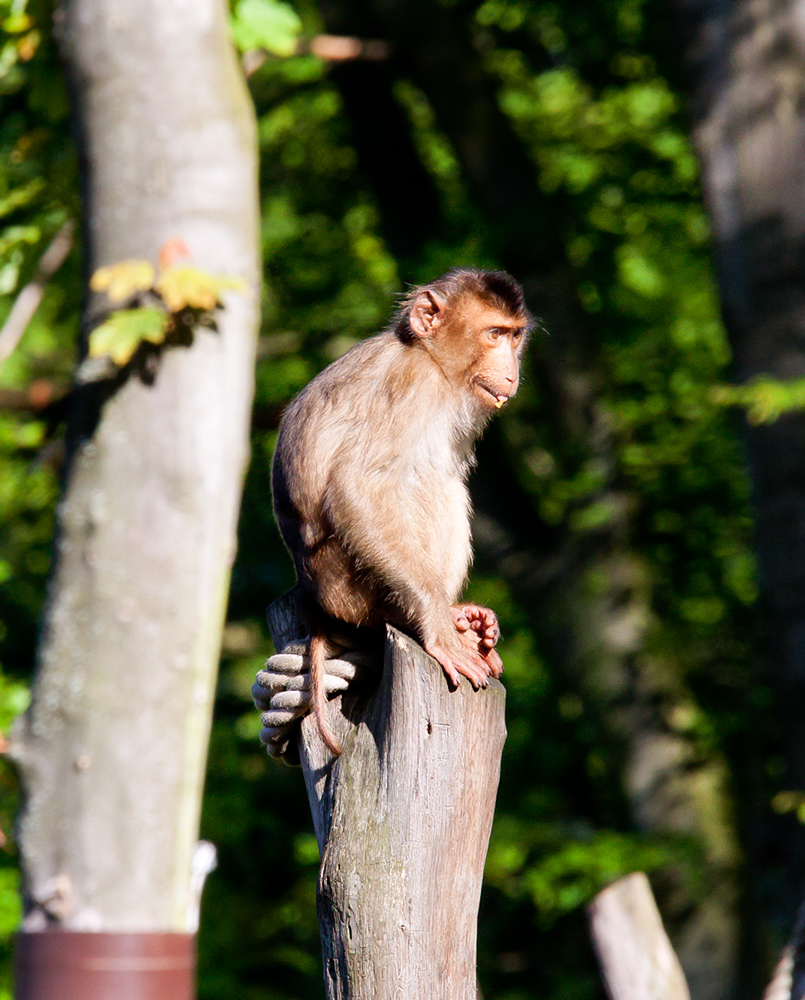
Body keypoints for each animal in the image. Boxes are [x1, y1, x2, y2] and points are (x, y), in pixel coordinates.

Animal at [274, 266, 532, 752]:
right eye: (493, 334)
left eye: (514, 336)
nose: (512, 371)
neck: (429, 357)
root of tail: (314, 599)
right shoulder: (413, 387)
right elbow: (359, 487)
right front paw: (439, 630)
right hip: (347, 586)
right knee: (420, 477)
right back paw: (416, 617)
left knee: (444, 480)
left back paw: (462, 618)